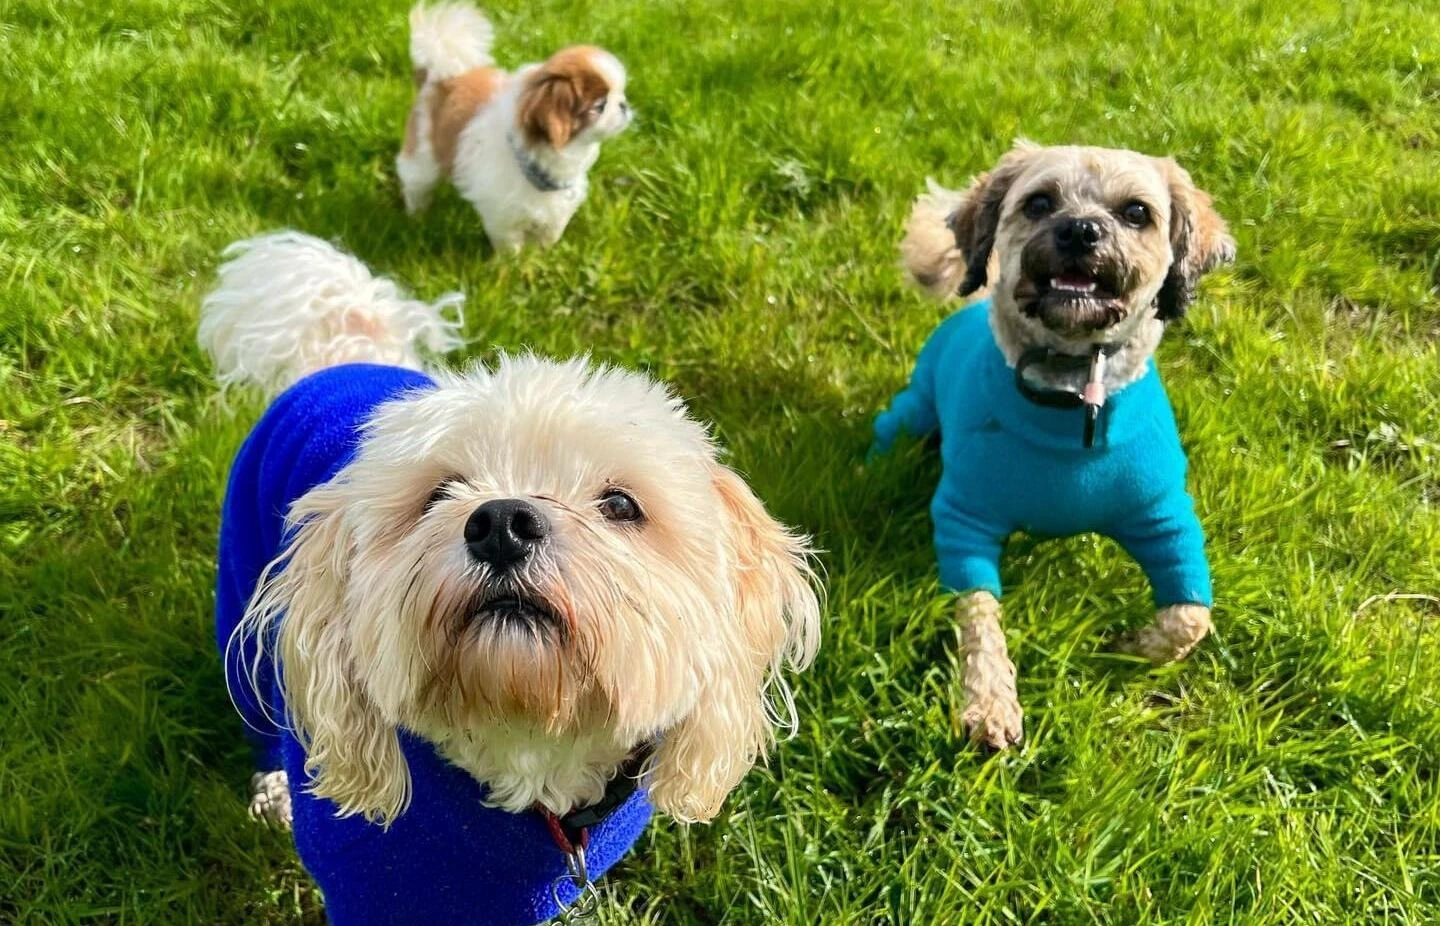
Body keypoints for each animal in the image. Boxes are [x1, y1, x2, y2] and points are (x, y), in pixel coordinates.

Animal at [200, 230, 823, 921]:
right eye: (438, 494)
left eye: (621, 505)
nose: (501, 524)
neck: (525, 749)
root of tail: (346, 355)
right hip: (238, 575)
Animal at [397, 2, 627, 250]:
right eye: (600, 106)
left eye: (621, 93)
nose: (623, 105)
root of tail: (439, 76)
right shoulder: (503, 217)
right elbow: (511, 246)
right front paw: (514, 261)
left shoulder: (555, 209)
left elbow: (548, 236)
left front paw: (540, 255)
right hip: (423, 159)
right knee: (417, 185)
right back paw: (417, 217)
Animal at [869, 146, 1232, 754]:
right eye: (1039, 203)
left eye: (1136, 212)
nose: (1080, 229)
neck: (1070, 389)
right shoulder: (964, 519)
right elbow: (979, 618)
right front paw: (988, 702)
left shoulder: (1165, 518)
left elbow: (1190, 616)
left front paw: (1133, 648)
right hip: (914, 408)